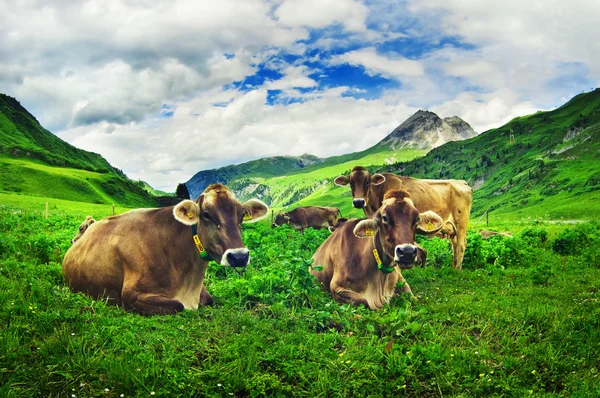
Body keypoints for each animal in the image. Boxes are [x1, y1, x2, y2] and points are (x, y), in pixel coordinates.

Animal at [61, 185, 268, 316]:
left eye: (242, 215)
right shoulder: (130, 295)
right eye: (207, 214)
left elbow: (210, 299)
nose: (239, 256)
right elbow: (177, 305)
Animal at [312, 188, 442, 310]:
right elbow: (364, 301)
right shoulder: (336, 287)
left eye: (417, 219)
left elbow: (412, 296)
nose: (407, 252)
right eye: (384, 218)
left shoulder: (400, 279)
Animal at [336, 165, 472, 270]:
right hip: (452, 228)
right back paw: (453, 267)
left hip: (461, 223)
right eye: (351, 183)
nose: (358, 202)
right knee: (455, 245)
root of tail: (462, 182)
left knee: (461, 245)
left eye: (367, 182)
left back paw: (457, 270)